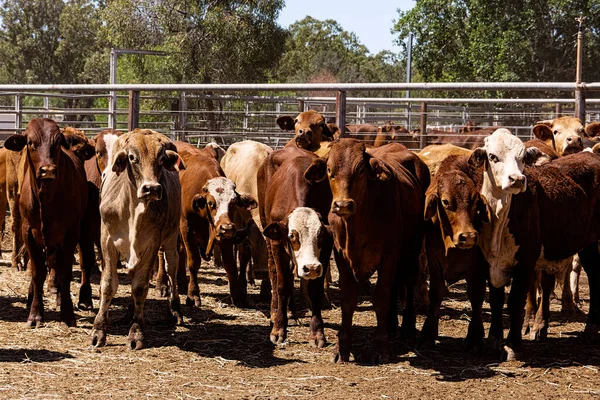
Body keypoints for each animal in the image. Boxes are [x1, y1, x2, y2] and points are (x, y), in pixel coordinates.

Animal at [3, 119, 90, 328]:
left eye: (57, 142)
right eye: (31, 142)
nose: (48, 170)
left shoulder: (70, 233)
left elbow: (64, 272)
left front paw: (67, 313)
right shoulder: (29, 232)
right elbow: (37, 273)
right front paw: (35, 314)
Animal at [90, 130, 185, 348]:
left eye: (161, 159)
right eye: (132, 158)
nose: (152, 188)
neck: (133, 209)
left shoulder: (152, 243)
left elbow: (140, 287)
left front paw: (136, 332)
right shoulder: (107, 240)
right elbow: (108, 285)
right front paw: (99, 330)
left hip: (170, 237)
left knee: (171, 267)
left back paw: (175, 309)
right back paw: (129, 312)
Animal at [175, 141, 256, 310]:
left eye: (233, 203)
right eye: (211, 203)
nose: (227, 228)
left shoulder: (225, 234)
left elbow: (230, 264)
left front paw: (238, 296)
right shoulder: (186, 228)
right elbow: (193, 262)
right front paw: (193, 295)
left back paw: (182, 283)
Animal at [256, 146, 336, 346]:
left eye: (319, 235)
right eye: (292, 235)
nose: (312, 267)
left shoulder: (326, 246)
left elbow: (315, 289)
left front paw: (317, 332)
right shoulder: (278, 242)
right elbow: (283, 284)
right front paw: (279, 329)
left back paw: (291, 310)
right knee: (274, 272)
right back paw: (275, 310)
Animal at [304, 138, 432, 362]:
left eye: (361, 169)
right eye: (329, 169)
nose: (343, 205)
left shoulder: (388, 254)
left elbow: (380, 298)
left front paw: (381, 348)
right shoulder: (341, 255)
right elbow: (348, 299)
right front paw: (342, 348)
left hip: (413, 246)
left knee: (409, 280)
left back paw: (407, 327)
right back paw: (391, 325)